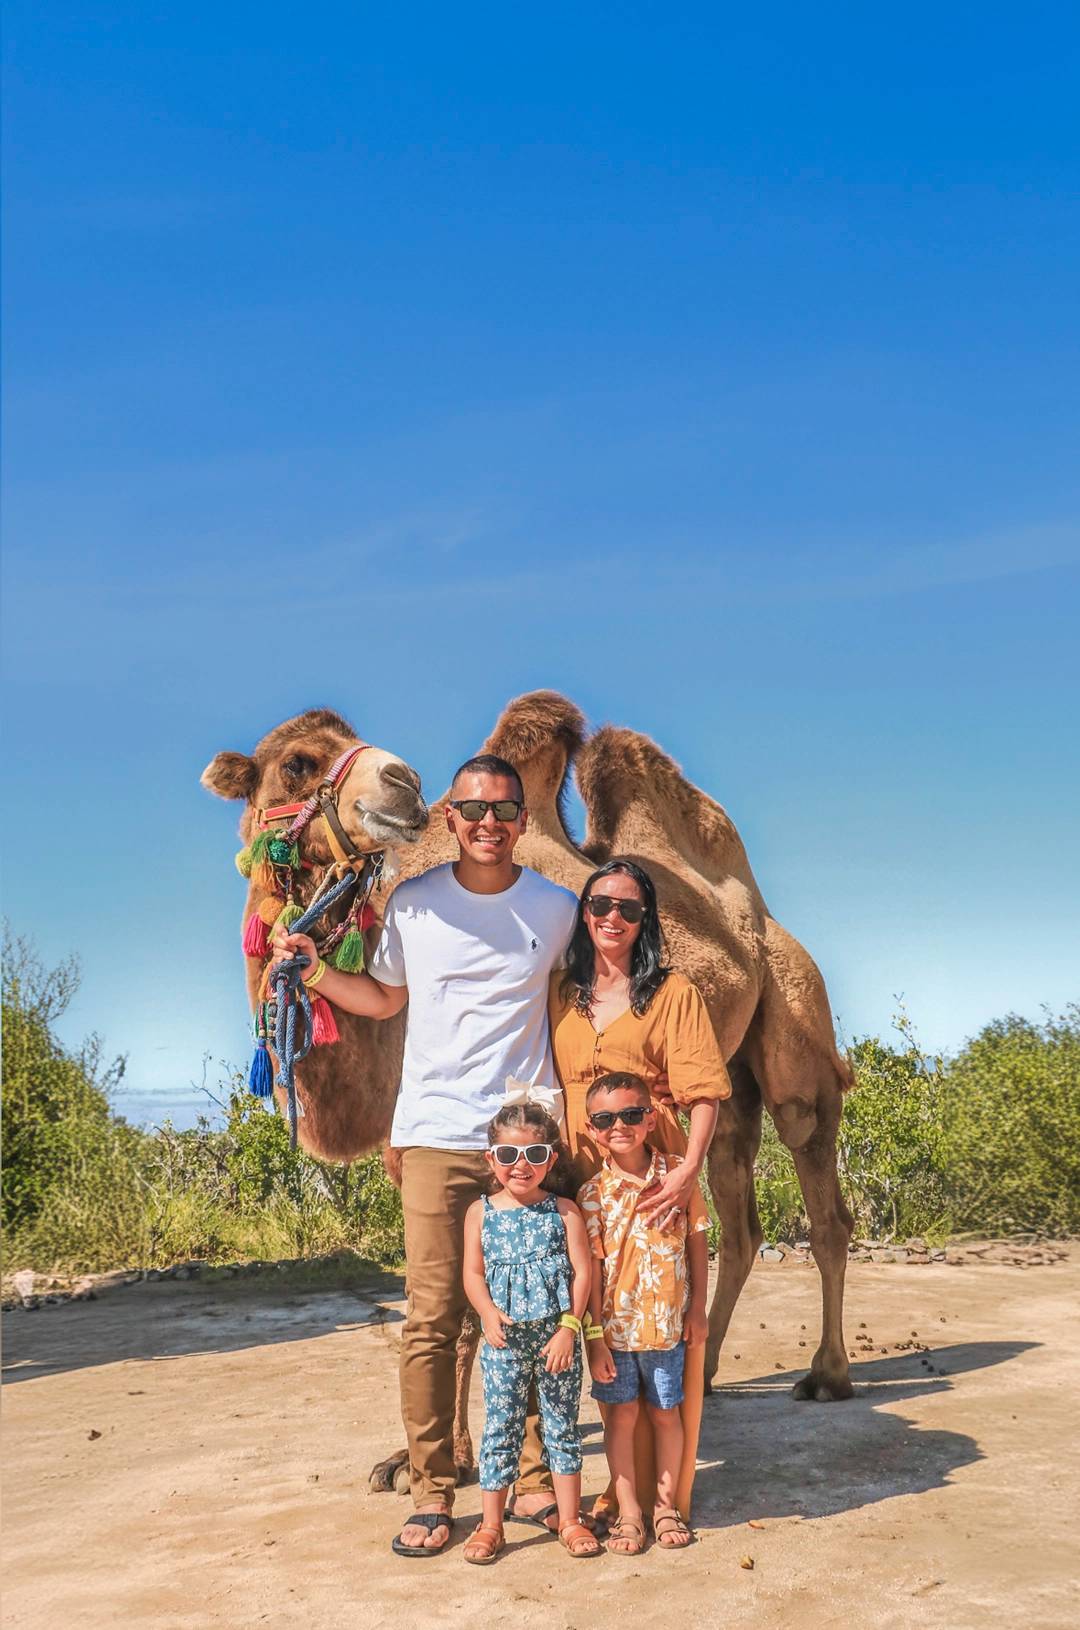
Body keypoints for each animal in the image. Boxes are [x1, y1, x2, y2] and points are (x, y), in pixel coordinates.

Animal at [202, 692, 854, 1493]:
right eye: (296, 762)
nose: (401, 783)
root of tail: (761, 920)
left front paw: (456, 1460)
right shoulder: (406, 1149)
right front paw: (418, 1459)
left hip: (796, 1027)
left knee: (818, 1182)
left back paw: (827, 1376)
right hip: (727, 1075)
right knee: (738, 1210)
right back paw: (700, 1376)